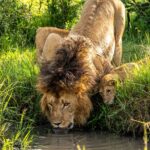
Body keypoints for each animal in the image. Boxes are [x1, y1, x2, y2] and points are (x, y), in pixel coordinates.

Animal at [36, 0, 125, 129]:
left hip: (118, 39)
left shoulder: (107, 66)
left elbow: (110, 80)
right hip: (52, 36)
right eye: (50, 104)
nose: (56, 124)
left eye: (66, 104)